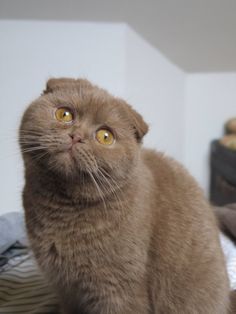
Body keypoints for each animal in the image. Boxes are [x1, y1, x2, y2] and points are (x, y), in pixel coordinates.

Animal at [19, 77, 230, 312]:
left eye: (105, 136)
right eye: (64, 114)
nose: (77, 136)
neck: (61, 211)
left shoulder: (118, 290)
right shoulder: (65, 290)